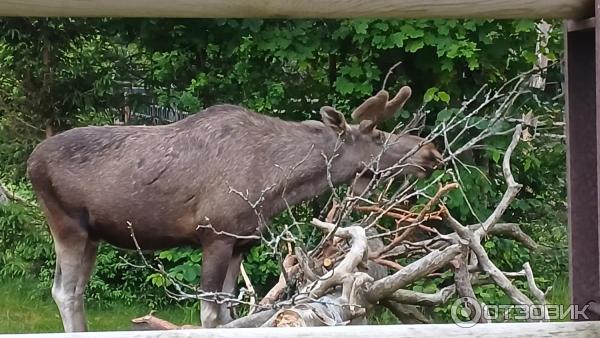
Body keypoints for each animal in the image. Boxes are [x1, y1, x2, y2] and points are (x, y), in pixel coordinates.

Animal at [27, 84, 440, 330]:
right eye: (378, 136)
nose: (430, 152)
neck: (278, 184)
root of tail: (30, 162)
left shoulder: (242, 242)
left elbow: (230, 313)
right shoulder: (215, 236)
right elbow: (210, 314)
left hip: (93, 235)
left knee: (75, 289)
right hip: (67, 225)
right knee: (65, 292)